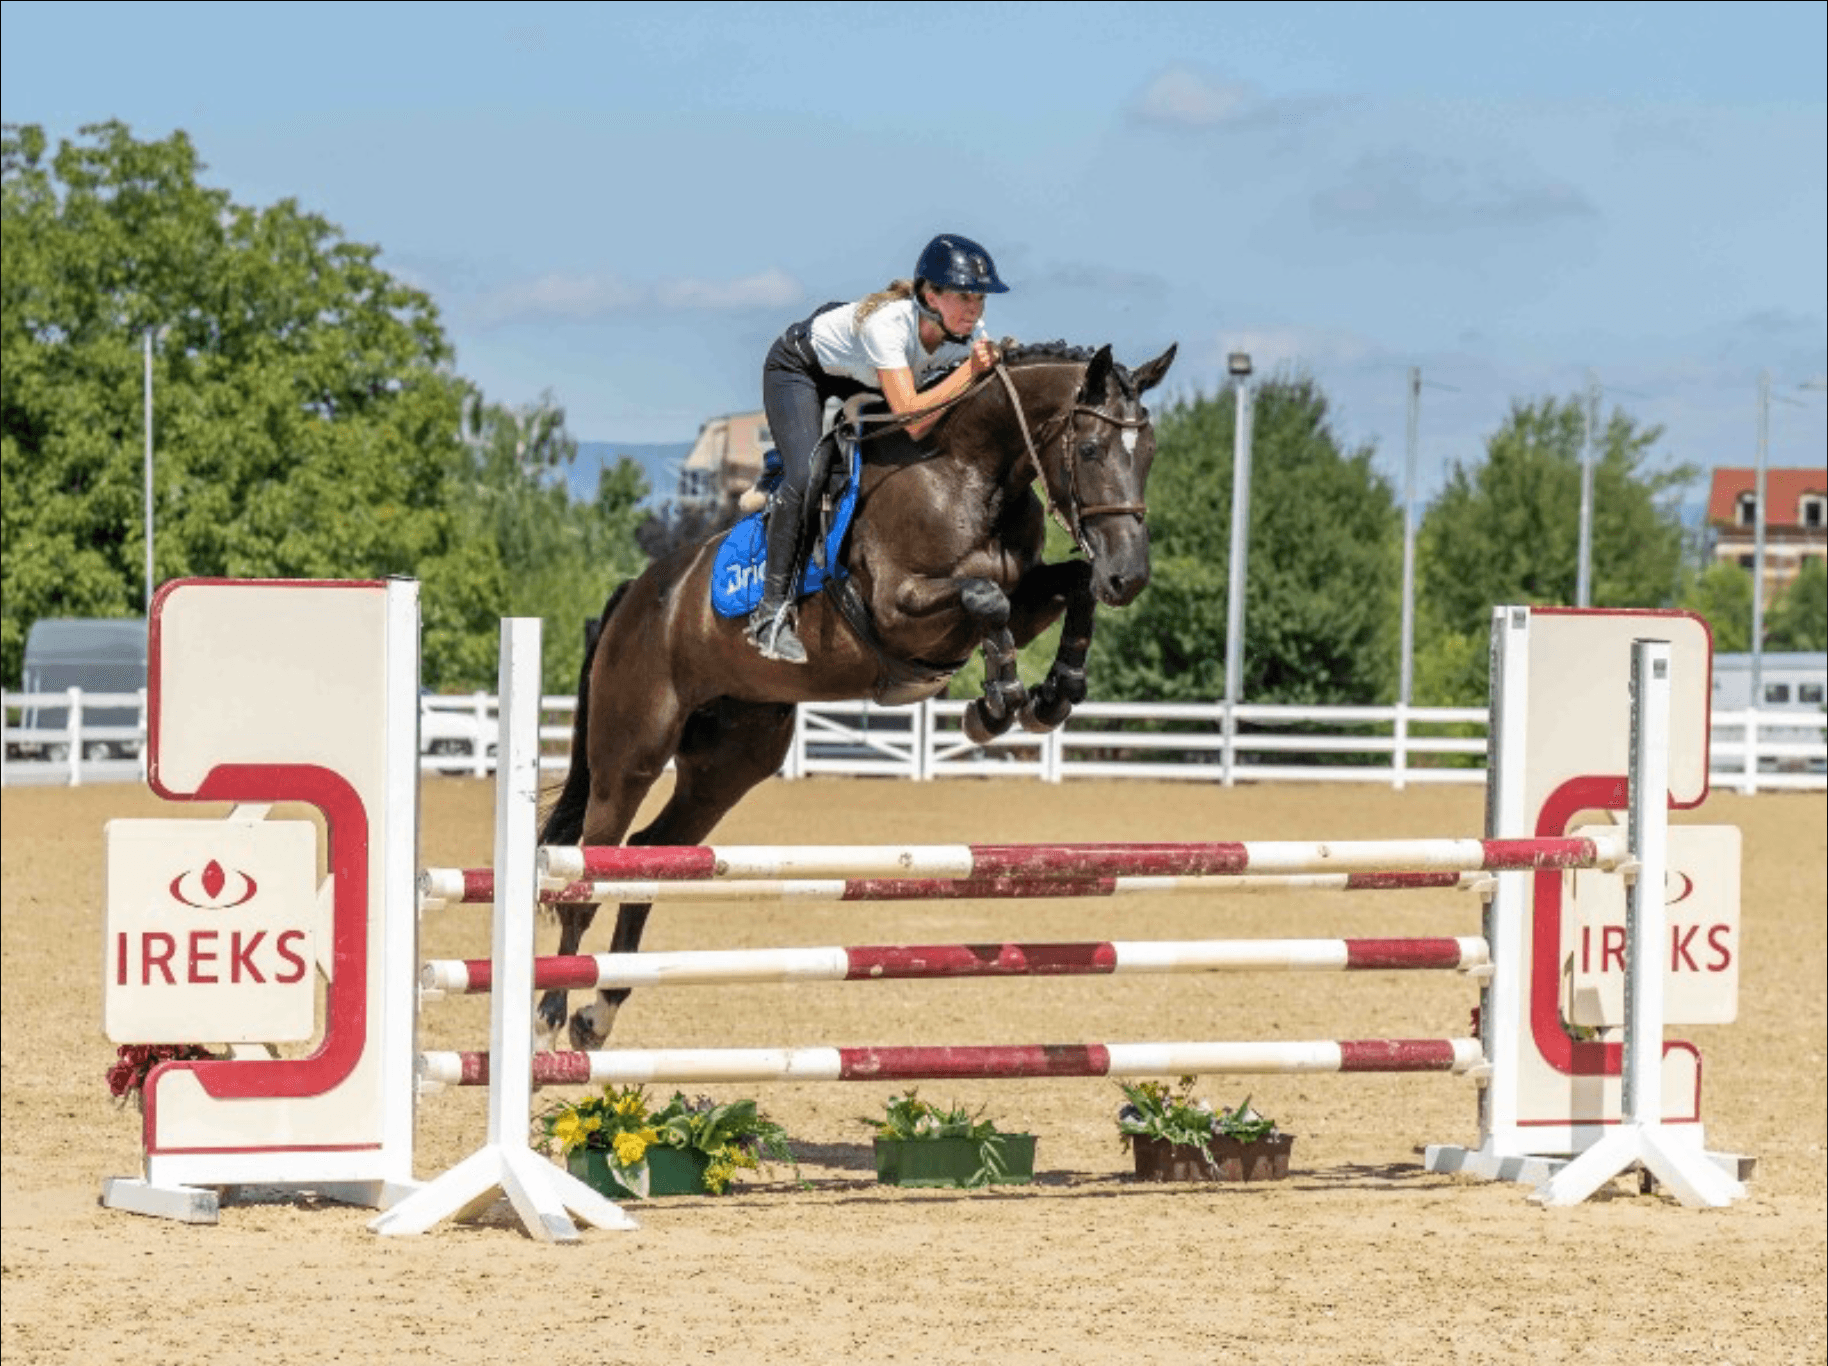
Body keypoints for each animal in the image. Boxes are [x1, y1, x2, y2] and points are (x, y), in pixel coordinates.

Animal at [537, 338, 1177, 1047]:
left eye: (1148, 452)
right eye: (1090, 450)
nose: (1130, 576)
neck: (970, 470)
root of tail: (637, 593)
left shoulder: (1029, 591)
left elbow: (1066, 588)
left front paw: (1053, 694)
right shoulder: (900, 606)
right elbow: (987, 597)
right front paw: (998, 701)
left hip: (730, 763)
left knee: (652, 857)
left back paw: (599, 1011)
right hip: (630, 755)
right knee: (588, 869)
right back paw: (551, 1018)